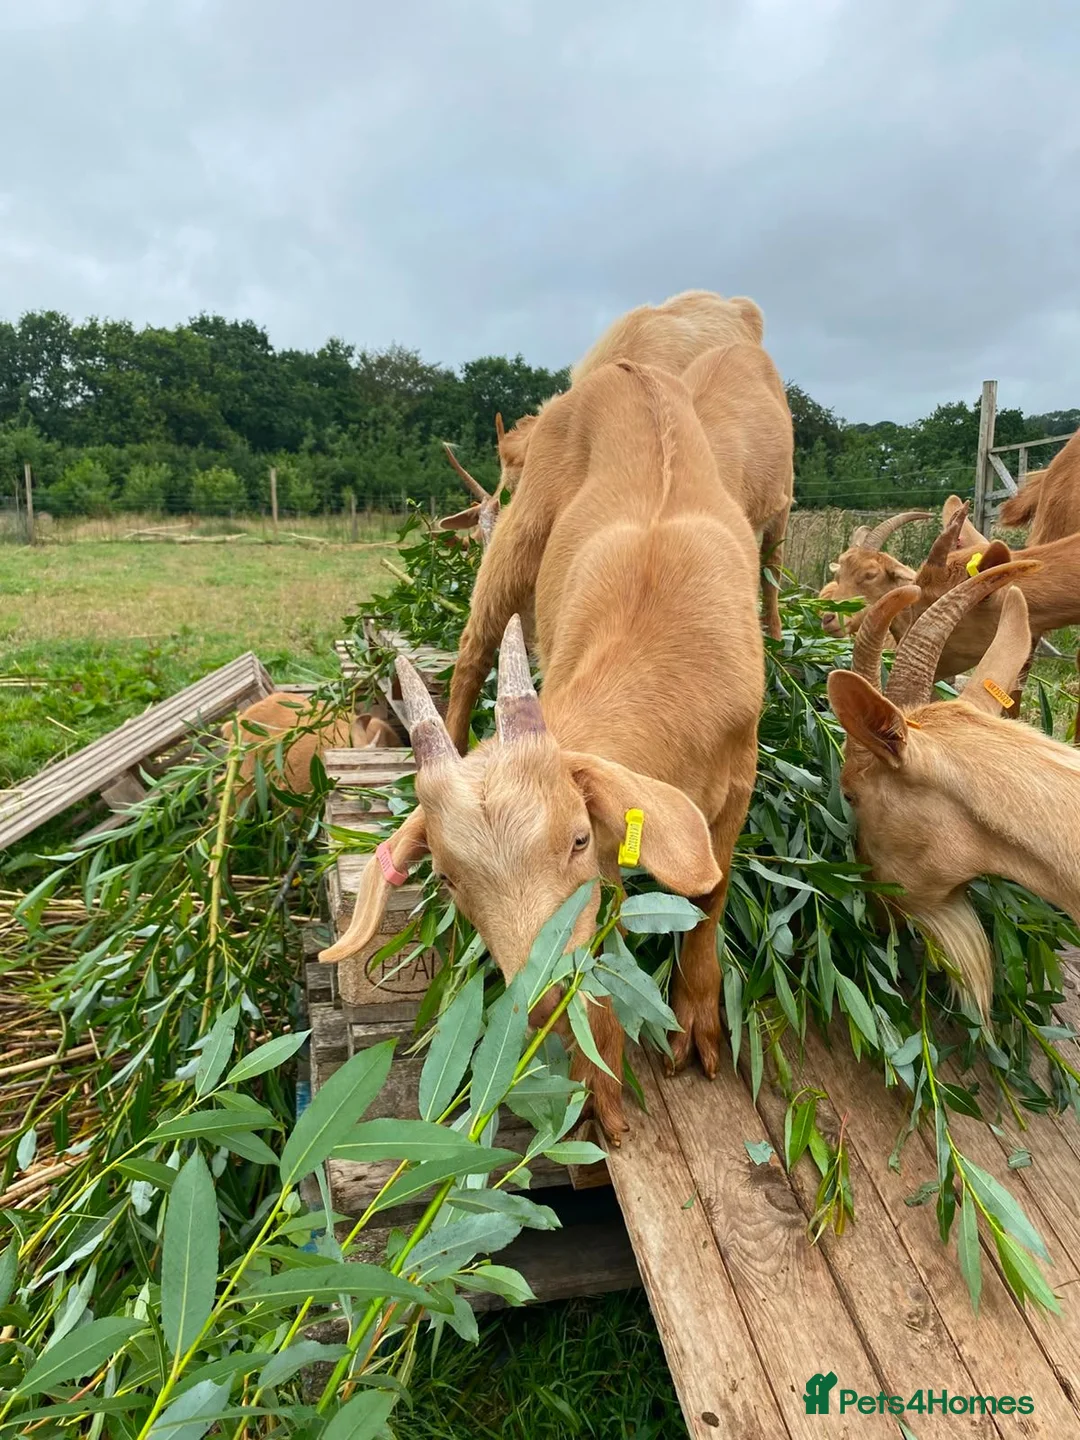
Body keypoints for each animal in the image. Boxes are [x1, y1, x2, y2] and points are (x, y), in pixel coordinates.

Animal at [321, 360, 764, 1139]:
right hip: (519, 523)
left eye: (580, 839)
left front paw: (695, 1026)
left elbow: (707, 892)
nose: (539, 1000)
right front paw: (597, 1077)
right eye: (447, 879)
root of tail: (627, 370)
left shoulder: (740, 773)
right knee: (472, 647)